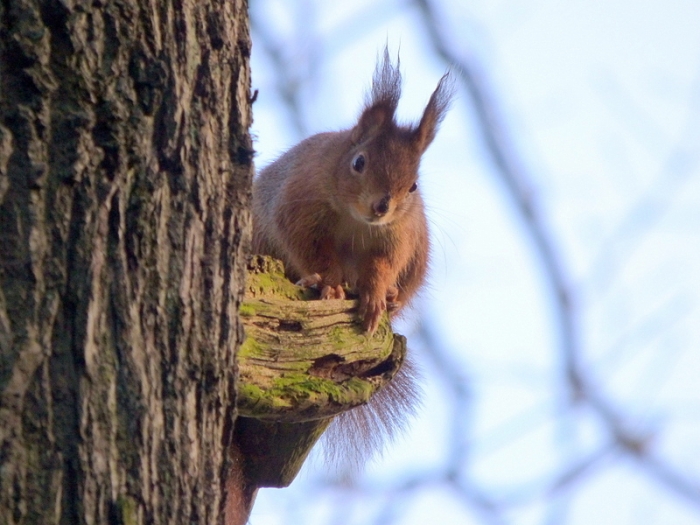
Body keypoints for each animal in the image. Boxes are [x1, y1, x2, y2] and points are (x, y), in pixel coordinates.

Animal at [250, 49, 452, 471]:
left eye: (413, 185)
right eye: (358, 163)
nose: (381, 207)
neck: (354, 221)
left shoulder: (395, 241)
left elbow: (380, 269)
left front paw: (375, 298)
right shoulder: (299, 208)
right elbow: (313, 252)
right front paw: (328, 283)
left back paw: (391, 300)